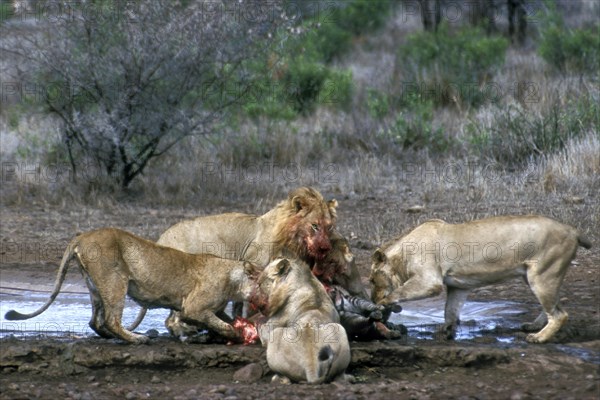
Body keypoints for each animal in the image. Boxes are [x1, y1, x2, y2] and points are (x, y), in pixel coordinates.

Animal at [3, 228, 258, 344]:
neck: (232, 276)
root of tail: (82, 236)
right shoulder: (193, 306)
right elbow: (220, 323)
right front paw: (234, 333)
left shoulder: (194, 308)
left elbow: (208, 321)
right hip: (116, 281)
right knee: (111, 320)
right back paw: (137, 338)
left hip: (94, 286)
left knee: (95, 321)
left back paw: (114, 336)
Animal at [370, 216, 592, 344]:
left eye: (372, 280)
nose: (371, 298)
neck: (401, 257)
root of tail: (572, 229)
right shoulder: (458, 286)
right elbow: (450, 310)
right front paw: (447, 332)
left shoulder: (429, 281)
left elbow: (400, 292)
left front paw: (381, 303)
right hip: (538, 276)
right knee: (555, 305)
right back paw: (534, 327)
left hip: (542, 275)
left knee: (560, 314)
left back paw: (538, 337)